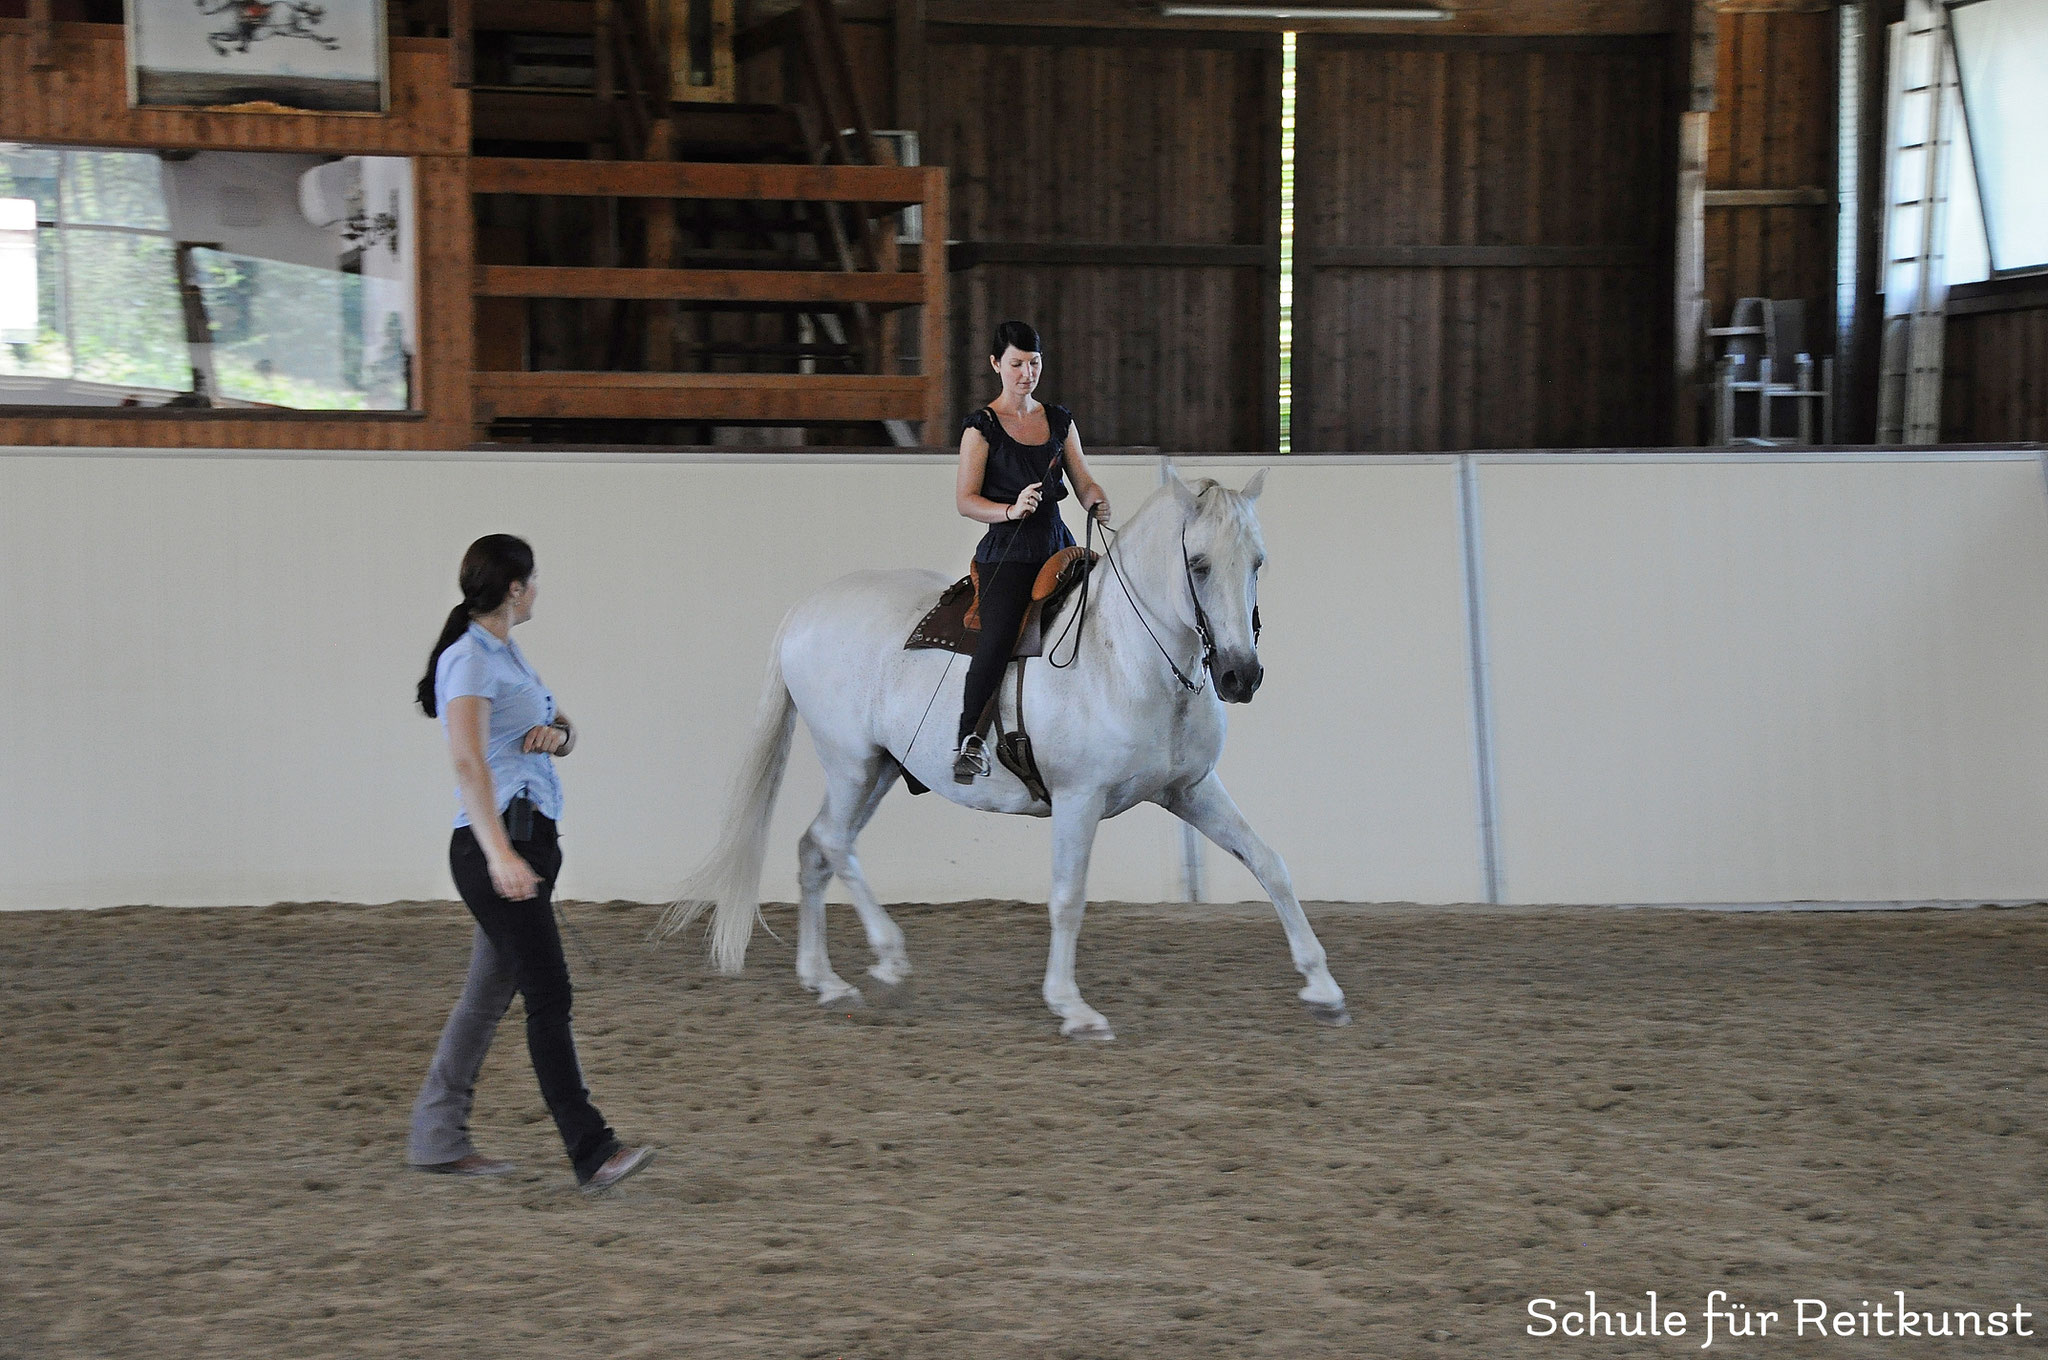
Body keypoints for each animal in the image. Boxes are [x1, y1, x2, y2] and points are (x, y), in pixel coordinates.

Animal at [663, 462, 1351, 1036]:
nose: (1240, 676)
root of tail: (804, 612)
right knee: (833, 843)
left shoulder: (1190, 790)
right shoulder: (1078, 799)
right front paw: (1072, 1007)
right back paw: (888, 958)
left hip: (877, 770)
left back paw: (825, 981)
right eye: (1200, 563)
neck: (1125, 655)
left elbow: (1269, 864)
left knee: (815, 849)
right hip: (850, 762)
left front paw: (1322, 986)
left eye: (1258, 562)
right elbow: (1068, 899)